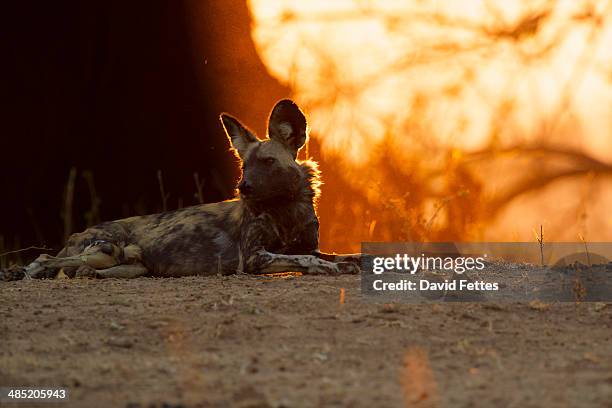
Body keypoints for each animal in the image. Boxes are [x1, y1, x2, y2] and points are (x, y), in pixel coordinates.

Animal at [1, 99, 358, 280]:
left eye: (268, 162)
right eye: (245, 166)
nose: (243, 187)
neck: (285, 210)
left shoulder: (308, 246)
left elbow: (342, 254)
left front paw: (349, 262)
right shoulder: (255, 258)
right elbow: (310, 262)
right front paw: (335, 268)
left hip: (131, 265)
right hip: (106, 249)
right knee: (45, 259)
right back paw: (23, 272)